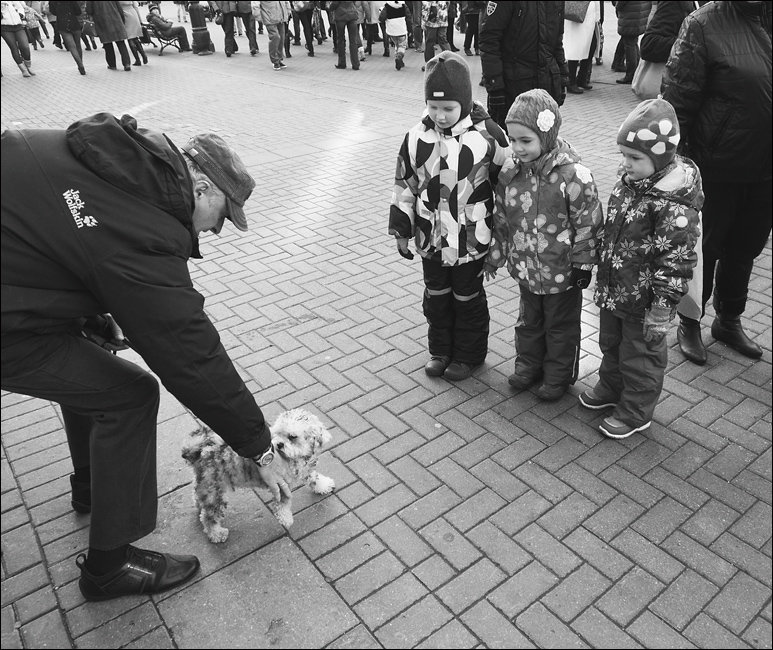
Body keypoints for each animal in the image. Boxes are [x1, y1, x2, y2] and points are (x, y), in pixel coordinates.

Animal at [185, 408, 338, 540]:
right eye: (277, 433)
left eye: (292, 436)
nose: (279, 444)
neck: (296, 457)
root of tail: (200, 453)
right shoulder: (279, 482)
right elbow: (282, 502)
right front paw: (285, 518)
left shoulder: (303, 470)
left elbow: (314, 477)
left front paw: (323, 485)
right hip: (215, 492)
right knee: (209, 517)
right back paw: (216, 533)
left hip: (206, 487)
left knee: (198, 498)